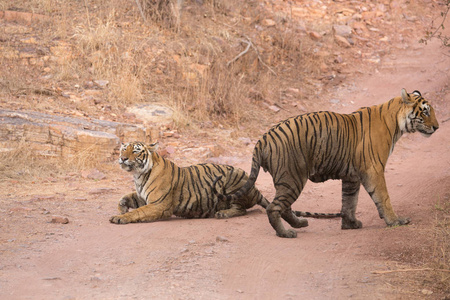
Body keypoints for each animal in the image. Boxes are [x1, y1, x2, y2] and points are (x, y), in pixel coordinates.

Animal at [110, 142, 270, 224]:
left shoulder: (159, 204)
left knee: (241, 208)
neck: (139, 175)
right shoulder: (143, 197)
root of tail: (255, 190)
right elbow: (125, 197)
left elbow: (138, 212)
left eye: (135, 151)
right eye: (124, 149)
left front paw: (120, 217)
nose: (122, 158)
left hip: (234, 179)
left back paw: (222, 213)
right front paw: (122, 208)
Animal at [214, 88, 440, 238]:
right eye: (425, 112)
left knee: (284, 206)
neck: (395, 122)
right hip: (292, 177)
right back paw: (286, 233)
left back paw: (299, 223)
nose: (437, 127)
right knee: (274, 207)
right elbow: (383, 198)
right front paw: (396, 222)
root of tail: (263, 138)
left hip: (288, 180)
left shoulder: (351, 176)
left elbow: (349, 201)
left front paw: (350, 224)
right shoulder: (373, 169)